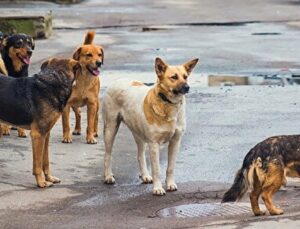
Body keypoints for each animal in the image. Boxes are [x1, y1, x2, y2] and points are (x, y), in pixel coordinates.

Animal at [0, 57, 81, 188]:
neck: (55, 79)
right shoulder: (38, 135)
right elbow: (37, 164)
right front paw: (41, 182)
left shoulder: (46, 134)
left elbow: (45, 161)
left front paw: (49, 178)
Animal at [102, 56, 198, 195]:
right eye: (174, 77)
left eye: (185, 76)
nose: (187, 87)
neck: (167, 103)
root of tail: (117, 80)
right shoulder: (154, 144)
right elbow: (157, 169)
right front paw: (158, 188)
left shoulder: (175, 141)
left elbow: (170, 167)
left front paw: (170, 184)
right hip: (110, 128)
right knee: (107, 155)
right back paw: (108, 176)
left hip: (138, 134)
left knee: (140, 155)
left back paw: (145, 175)